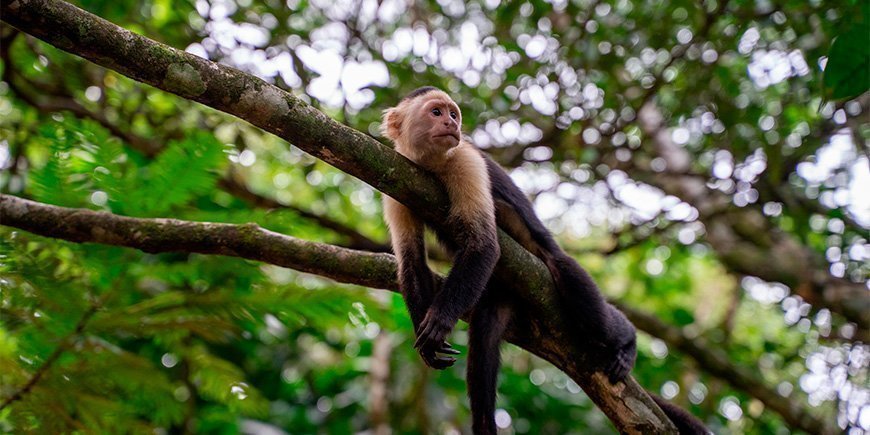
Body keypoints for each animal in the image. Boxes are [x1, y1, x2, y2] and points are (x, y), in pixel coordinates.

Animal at [382, 86, 707, 434]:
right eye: (436, 113)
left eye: (453, 114)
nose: (452, 125)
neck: (431, 166)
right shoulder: (398, 173)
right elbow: (412, 261)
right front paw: (426, 338)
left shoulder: (466, 161)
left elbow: (484, 245)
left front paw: (440, 321)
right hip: (497, 296)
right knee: (484, 341)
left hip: (552, 270)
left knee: (584, 302)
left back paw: (626, 340)